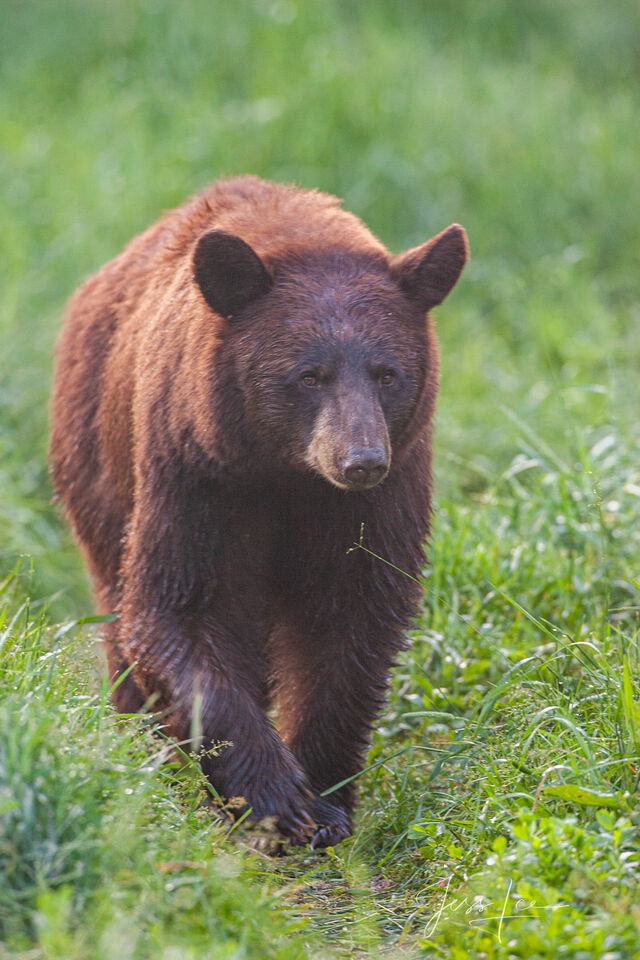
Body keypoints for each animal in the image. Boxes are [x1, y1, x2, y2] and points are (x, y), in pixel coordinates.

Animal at [50, 176, 468, 848]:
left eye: (387, 373)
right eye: (309, 375)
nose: (360, 460)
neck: (285, 471)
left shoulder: (378, 497)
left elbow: (352, 617)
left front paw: (324, 800)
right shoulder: (197, 470)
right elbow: (179, 608)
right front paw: (276, 797)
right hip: (98, 467)